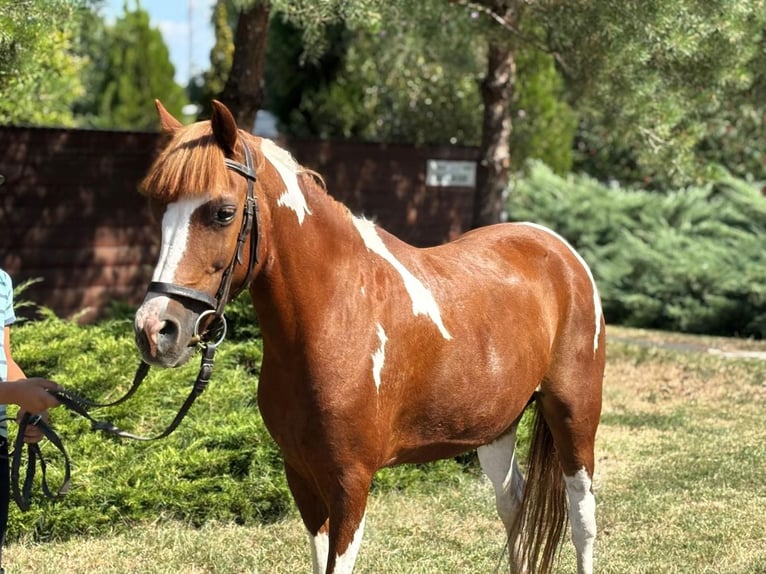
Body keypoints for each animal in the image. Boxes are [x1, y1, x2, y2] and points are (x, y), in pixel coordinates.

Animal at [133, 99, 605, 574]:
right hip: (495, 428)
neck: (337, 316)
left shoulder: (351, 483)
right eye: (159, 208)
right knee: (513, 504)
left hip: (574, 417)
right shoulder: (300, 476)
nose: (155, 330)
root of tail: (561, 252)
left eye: (224, 213)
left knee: (582, 517)